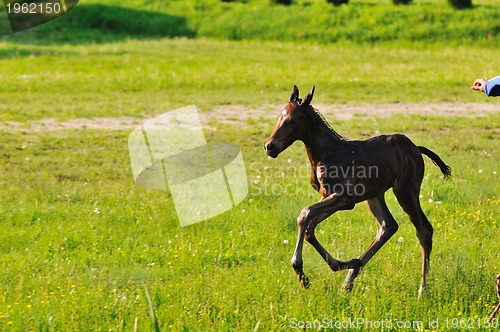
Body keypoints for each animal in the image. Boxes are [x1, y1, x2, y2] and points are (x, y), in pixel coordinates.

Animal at [264, 85, 452, 296]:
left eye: (293, 120)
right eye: (279, 117)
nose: (269, 146)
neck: (325, 153)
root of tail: (416, 149)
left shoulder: (345, 198)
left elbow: (305, 214)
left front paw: (300, 269)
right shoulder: (333, 197)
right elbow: (309, 228)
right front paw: (336, 266)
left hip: (405, 190)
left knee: (424, 230)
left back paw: (421, 290)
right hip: (375, 195)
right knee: (387, 226)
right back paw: (349, 278)